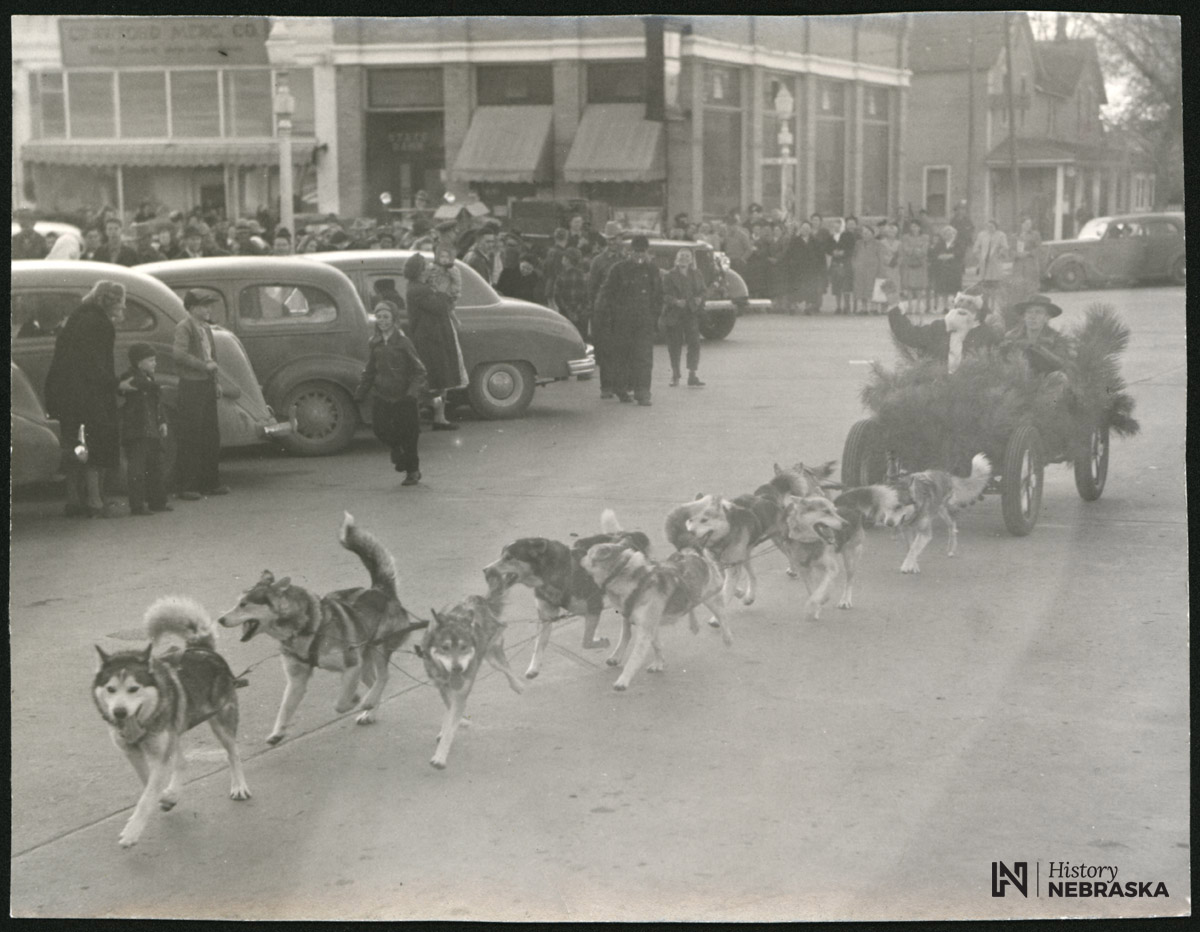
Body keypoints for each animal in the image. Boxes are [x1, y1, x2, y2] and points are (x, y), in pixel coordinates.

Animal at [94, 599, 252, 849]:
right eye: (110, 689)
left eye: (133, 689)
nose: (119, 712)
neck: (145, 721)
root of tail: (203, 648)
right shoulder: (132, 751)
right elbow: (148, 782)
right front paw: (167, 797)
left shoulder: (159, 753)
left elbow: (147, 795)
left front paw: (132, 831)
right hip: (175, 728)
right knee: (183, 761)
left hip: (221, 720)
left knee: (232, 753)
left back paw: (239, 786)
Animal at [218, 508, 424, 743]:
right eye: (237, 602)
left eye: (243, 605)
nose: (220, 620)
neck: (305, 629)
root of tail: (380, 590)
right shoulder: (297, 679)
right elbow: (285, 708)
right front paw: (278, 732)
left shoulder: (351, 666)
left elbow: (340, 704)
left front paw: (354, 699)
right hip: (365, 660)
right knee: (375, 682)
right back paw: (370, 710)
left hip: (379, 648)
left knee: (383, 677)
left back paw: (368, 702)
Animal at [482, 522, 652, 676]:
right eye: (501, 556)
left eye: (509, 557)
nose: (485, 569)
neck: (549, 574)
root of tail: (631, 535)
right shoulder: (546, 615)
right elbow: (539, 644)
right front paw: (534, 667)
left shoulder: (593, 607)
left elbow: (586, 641)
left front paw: (601, 641)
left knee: (627, 631)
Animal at [576, 508, 724, 690]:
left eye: (588, 553)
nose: (577, 555)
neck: (624, 572)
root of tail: (693, 552)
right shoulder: (641, 620)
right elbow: (646, 642)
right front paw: (656, 663)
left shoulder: (646, 626)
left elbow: (635, 656)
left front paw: (623, 679)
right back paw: (694, 623)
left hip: (712, 587)